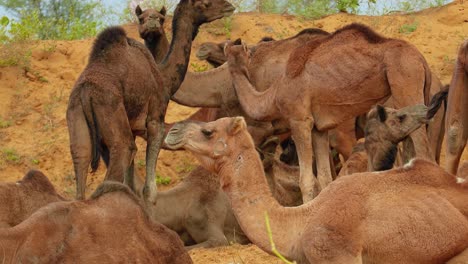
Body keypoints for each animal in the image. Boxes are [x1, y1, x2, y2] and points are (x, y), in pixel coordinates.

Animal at [66, 0, 234, 201]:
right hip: (109, 106)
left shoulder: (132, 127)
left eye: (160, 18)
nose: (229, 6)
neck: (163, 76)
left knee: (81, 162)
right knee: (122, 153)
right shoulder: (156, 118)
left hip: (75, 115)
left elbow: (130, 184)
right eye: (205, 3)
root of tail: (86, 92)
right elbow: (149, 191)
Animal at [224, 24, 436, 202]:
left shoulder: (299, 120)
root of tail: (422, 60)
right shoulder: (319, 129)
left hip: (406, 80)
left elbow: (307, 180)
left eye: (243, 53)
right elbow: (325, 178)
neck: (274, 94)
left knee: (424, 151)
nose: (233, 43)